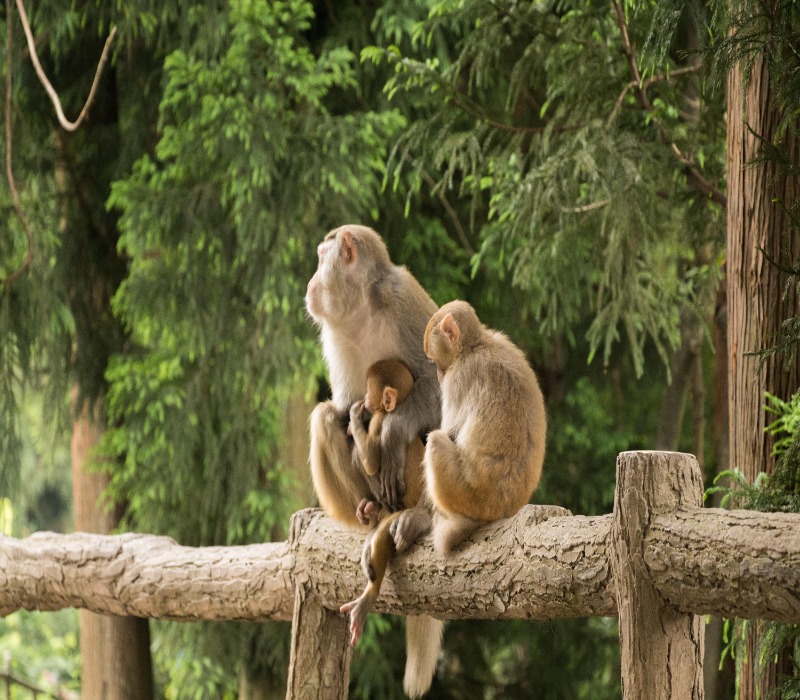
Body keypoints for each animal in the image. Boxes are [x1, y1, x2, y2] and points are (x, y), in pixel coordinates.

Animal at [340, 360, 424, 647]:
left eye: (368, 389)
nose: (364, 399)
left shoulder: (379, 421)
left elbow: (371, 460)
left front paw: (355, 418)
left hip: (401, 514)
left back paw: (368, 596)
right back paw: (373, 509)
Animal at [390, 299, 546, 557]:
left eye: (433, 361)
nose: (439, 375)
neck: (476, 346)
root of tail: (500, 510)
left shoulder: (458, 379)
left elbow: (450, 433)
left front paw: (416, 516)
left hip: (468, 494)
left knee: (436, 442)